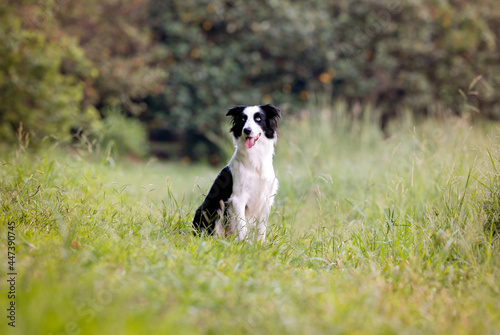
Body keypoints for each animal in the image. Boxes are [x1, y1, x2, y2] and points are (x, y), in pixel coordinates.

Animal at [193, 104, 284, 242]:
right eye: (242, 119)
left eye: (258, 119)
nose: (247, 130)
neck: (255, 161)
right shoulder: (238, 199)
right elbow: (242, 227)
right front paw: (244, 244)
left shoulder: (266, 199)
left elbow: (261, 230)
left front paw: (259, 245)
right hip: (211, 210)